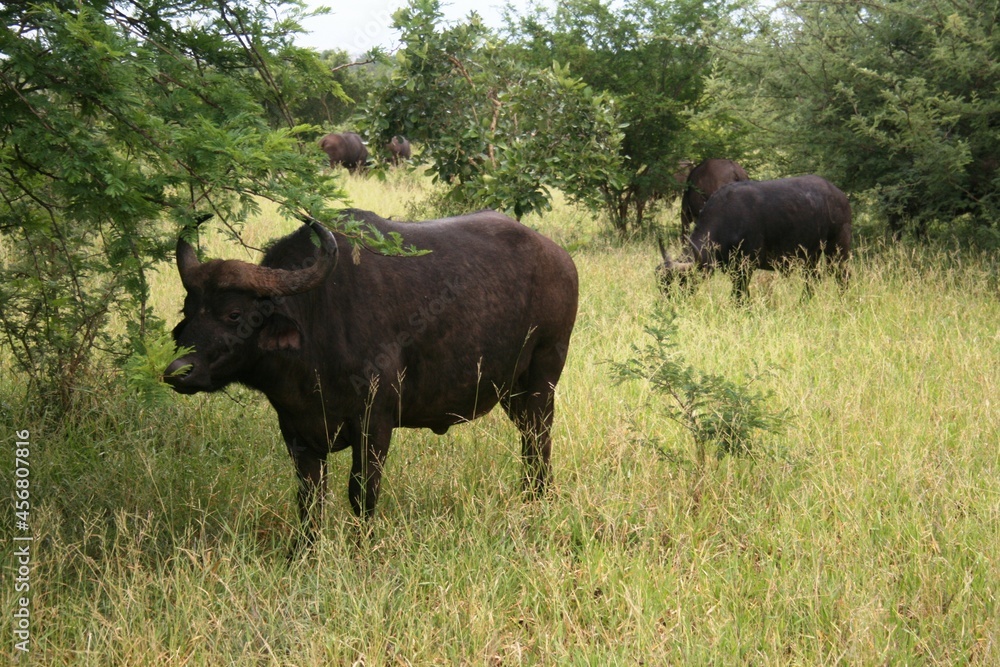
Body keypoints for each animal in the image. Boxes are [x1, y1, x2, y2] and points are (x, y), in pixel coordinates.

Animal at [164, 210, 580, 548]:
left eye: (234, 313)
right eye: (189, 309)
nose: (178, 372)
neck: (317, 324)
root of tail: (561, 259)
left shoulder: (374, 423)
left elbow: (361, 493)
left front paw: (362, 549)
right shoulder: (297, 432)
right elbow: (309, 498)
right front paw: (303, 554)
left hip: (543, 377)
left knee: (539, 441)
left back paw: (537, 500)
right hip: (512, 392)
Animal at [660, 177, 856, 302]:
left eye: (682, 281)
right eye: (663, 285)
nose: (669, 303)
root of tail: (840, 196)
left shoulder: (745, 268)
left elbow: (739, 296)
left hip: (837, 249)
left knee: (842, 276)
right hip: (811, 256)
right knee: (813, 279)